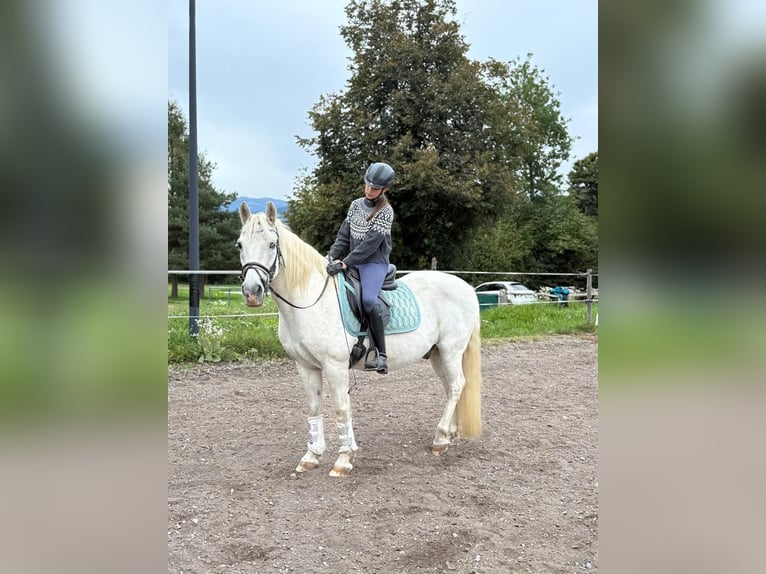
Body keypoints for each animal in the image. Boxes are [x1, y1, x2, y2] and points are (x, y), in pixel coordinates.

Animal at [237, 201, 482, 477]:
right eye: (240, 245)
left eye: (271, 244)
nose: (252, 292)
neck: (310, 300)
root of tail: (465, 287)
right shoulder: (306, 366)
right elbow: (313, 408)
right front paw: (311, 456)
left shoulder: (335, 366)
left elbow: (342, 409)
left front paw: (344, 459)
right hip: (437, 354)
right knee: (451, 387)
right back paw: (449, 433)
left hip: (451, 350)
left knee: (457, 385)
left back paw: (440, 440)